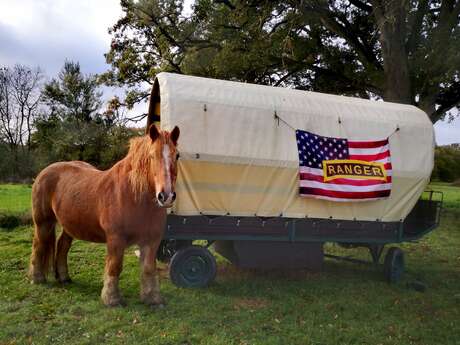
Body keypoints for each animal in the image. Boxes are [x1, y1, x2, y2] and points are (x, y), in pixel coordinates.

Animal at [28, 121, 180, 306]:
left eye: (177, 155)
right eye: (151, 156)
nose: (166, 196)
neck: (133, 195)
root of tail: (44, 172)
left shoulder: (152, 240)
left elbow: (149, 269)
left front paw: (153, 298)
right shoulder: (116, 238)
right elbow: (114, 267)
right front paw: (112, 299)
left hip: (70, 224)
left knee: (63, 245)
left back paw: (64, 277)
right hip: (43, 222)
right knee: (38, 245)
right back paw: (37, 278)